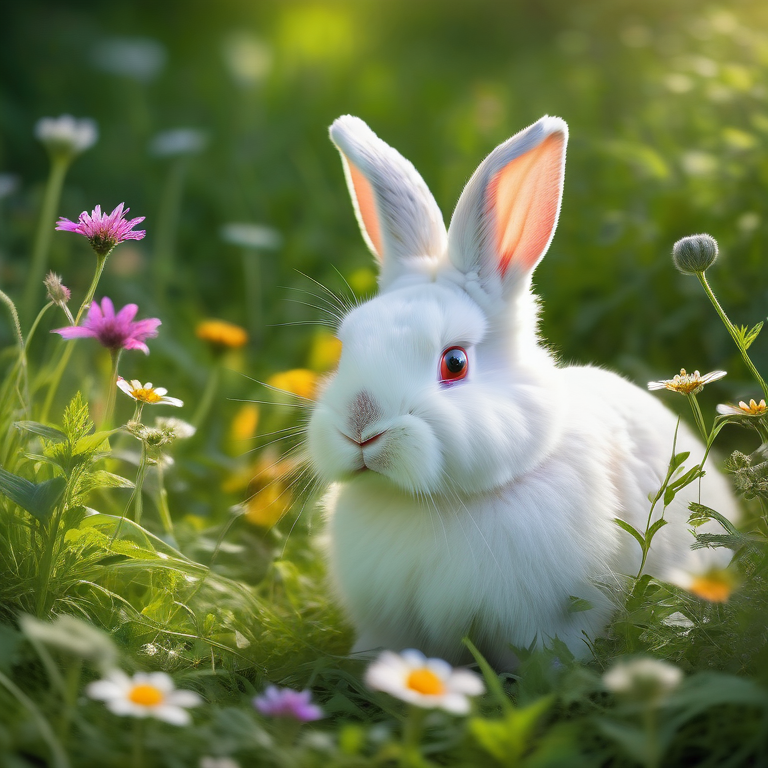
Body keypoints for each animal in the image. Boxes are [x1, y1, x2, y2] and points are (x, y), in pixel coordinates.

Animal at [306, 115, 736, 672]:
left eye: (454, 363)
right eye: (345, 348)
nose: (360, 428)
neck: (434, 503)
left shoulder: (547, 621)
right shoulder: (389, 622)